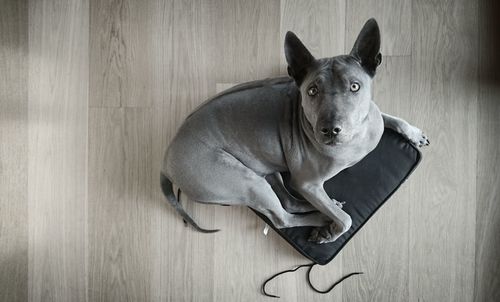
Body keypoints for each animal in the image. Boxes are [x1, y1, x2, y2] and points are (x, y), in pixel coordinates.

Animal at [161, 18, 430, 243]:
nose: (329, 130)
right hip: (246, 181)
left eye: (355, 86)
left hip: (265, 168)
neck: (355, 139)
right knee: (283, 218)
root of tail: (165, 163)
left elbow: (390, 118)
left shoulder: (372, 117)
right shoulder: (307, 183)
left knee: (290, 202)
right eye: (312, 91)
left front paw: (413, 133)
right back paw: (323, 218)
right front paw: (331, 232)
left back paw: (326, 207)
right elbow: (346, 220)